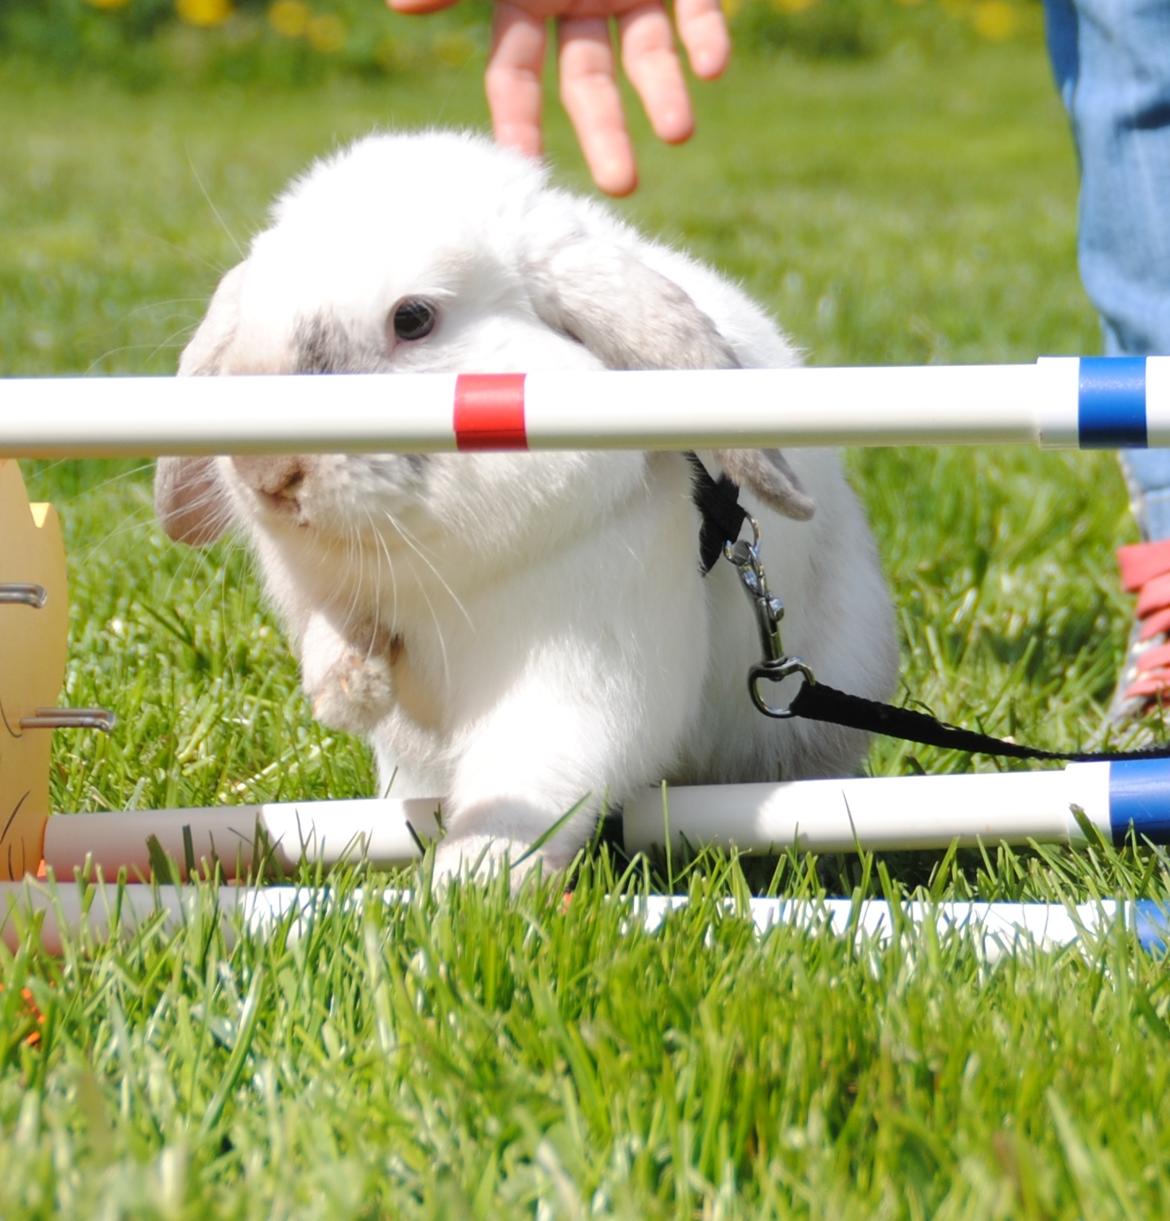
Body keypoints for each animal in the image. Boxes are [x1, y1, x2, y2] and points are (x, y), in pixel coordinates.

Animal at [155, 131, 903, 879]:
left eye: (413, 318)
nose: (266, 473)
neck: (440, 566)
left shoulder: (577, 678)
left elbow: (530, 784)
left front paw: (468, 882)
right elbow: (338, 630)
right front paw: (347, 692)